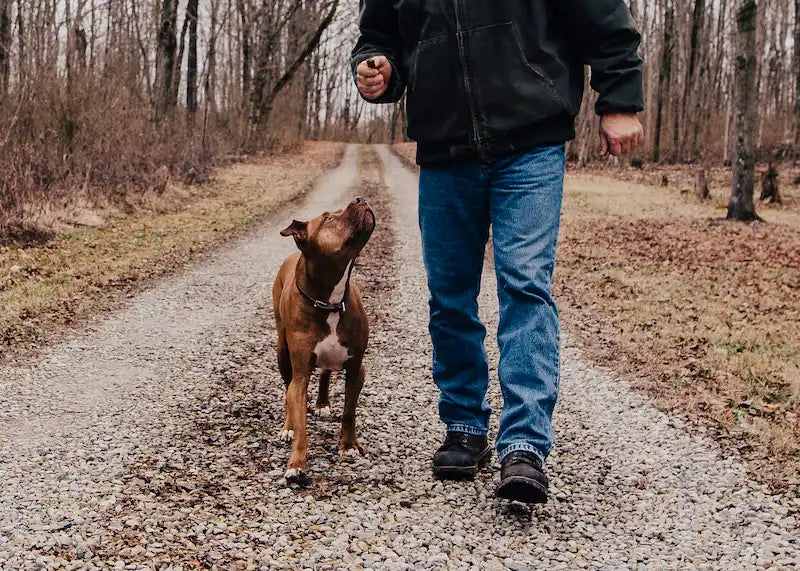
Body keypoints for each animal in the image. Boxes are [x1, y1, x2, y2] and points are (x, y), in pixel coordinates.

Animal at [274, 197, 376, 482]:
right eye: (328, 218)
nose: (359, 199)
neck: (328, 300)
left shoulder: (356, 368)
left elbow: (349, 412)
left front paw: (349, 445)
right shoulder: (300, 374)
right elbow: (299, 417)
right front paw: (296, 464)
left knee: (325, 373)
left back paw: (322, 402)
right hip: (282, 351)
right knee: (287, 390)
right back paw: (287, 426)